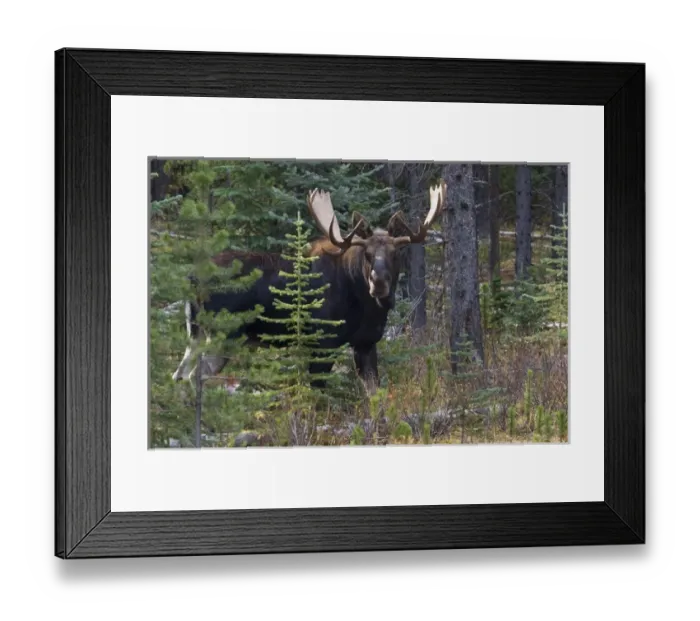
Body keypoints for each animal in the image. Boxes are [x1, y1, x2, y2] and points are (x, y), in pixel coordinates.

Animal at [171, 179, 447, 395]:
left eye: (396, 253)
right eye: (367, 254)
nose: (378, 282)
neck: (367, 307)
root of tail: (191, 278)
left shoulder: (366, 342)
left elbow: (374, 393)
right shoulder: (322, 343)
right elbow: (317, 393)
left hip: (196, 333)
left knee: (179, 374)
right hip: (223, 334)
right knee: (195, 375)